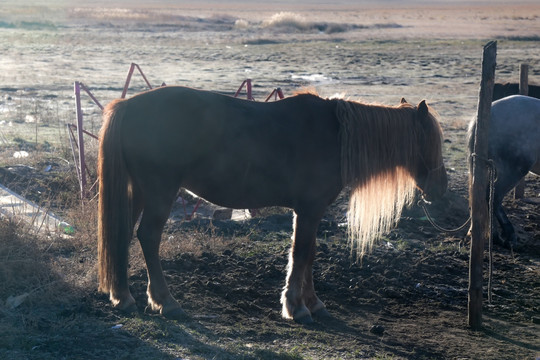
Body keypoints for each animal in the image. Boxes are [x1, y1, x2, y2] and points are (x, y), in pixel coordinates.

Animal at [98, 86, 448, 324]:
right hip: (160, 192)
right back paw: (164, 301)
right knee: (148, 237)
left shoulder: (309, 211)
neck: (335, 136)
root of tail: (128, 106)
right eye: (430, 142)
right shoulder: (309, 209)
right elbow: (302, 253)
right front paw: (297, 307)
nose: (441, 188)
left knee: (122, 235)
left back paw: (123, 297)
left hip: (140, 192)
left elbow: (310, 254)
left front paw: (313, 302)